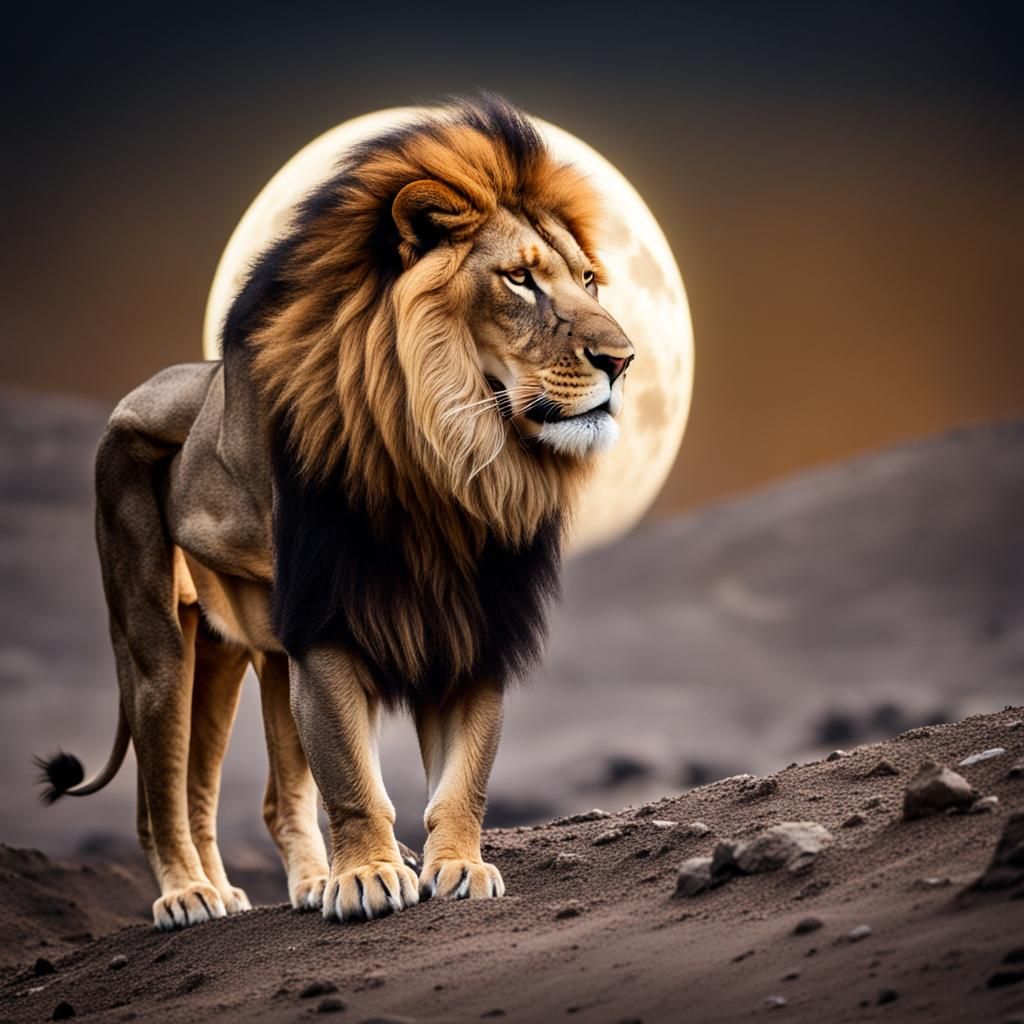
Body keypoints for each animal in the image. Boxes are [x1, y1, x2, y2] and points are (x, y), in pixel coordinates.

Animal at [36, 96, 634, 928]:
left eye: (587, 281)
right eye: (519, 280)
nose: (625, 361)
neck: (448, 462)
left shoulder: (476, 623)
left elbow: (465, 776)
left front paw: (457, 865)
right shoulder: (327, 620)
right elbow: (351, 775)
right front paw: (370, 876)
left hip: (236, 651)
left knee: (248, 793)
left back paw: (289, 885)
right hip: (158, 647)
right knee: (158, 794)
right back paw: (189, 894)